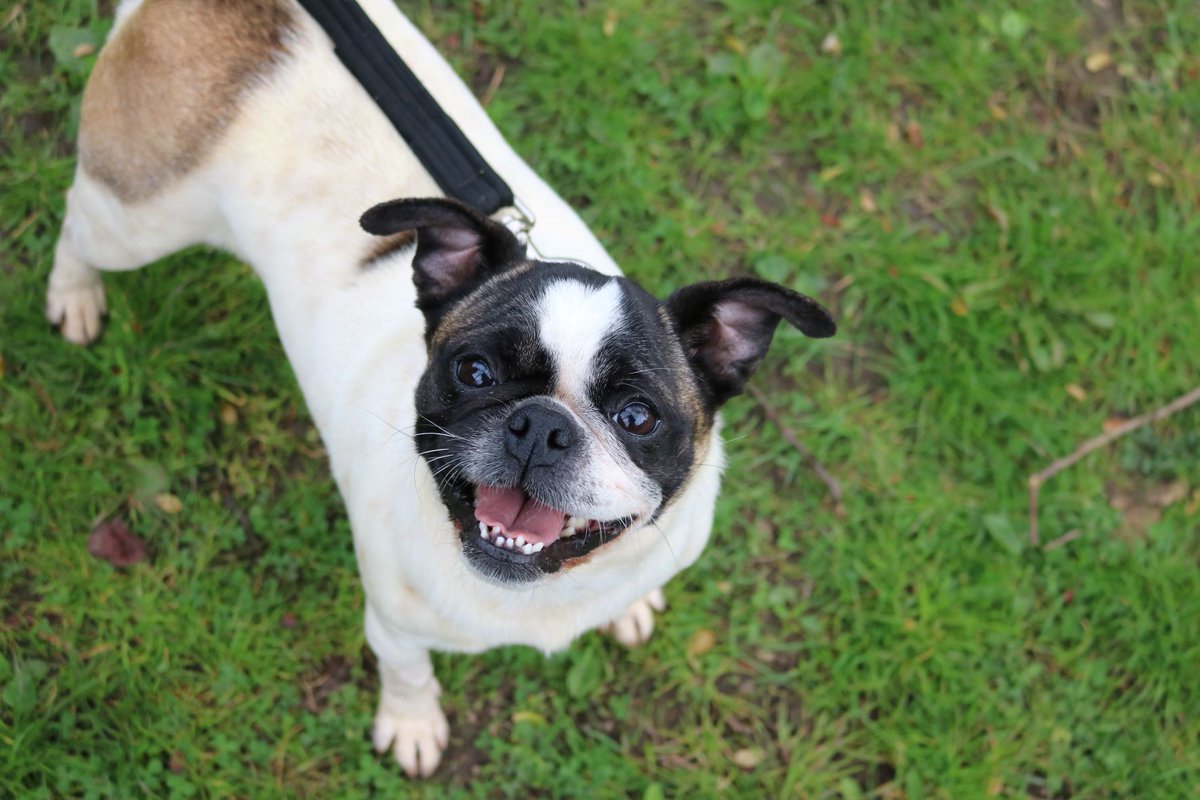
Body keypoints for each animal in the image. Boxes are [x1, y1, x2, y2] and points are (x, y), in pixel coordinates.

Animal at [46, 0, 835, 777]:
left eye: (638, 416)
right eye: (474, 373)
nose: (541, 426)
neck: (547, 588)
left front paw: (627, 610)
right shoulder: (393, 626)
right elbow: (409, 674)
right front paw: (412, 724)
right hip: (134, 217)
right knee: (75, 223)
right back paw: (74, 295)